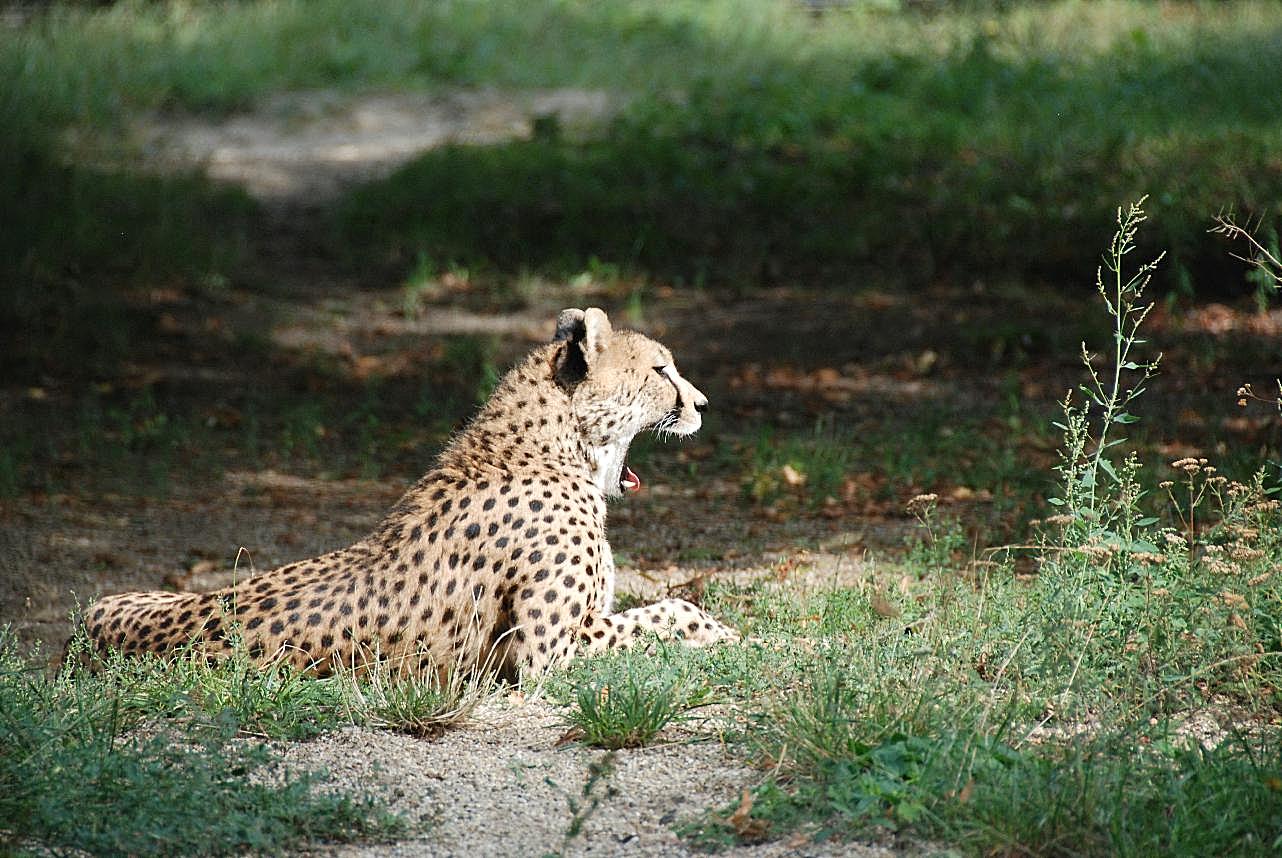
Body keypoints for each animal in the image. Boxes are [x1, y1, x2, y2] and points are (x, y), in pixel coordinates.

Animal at [77, 307, 743, 677]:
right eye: (661, 370)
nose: (704, 405)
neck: (556, 449)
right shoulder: (543, 655)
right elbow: (670, 609)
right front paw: (728, 635)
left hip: (119, 597)